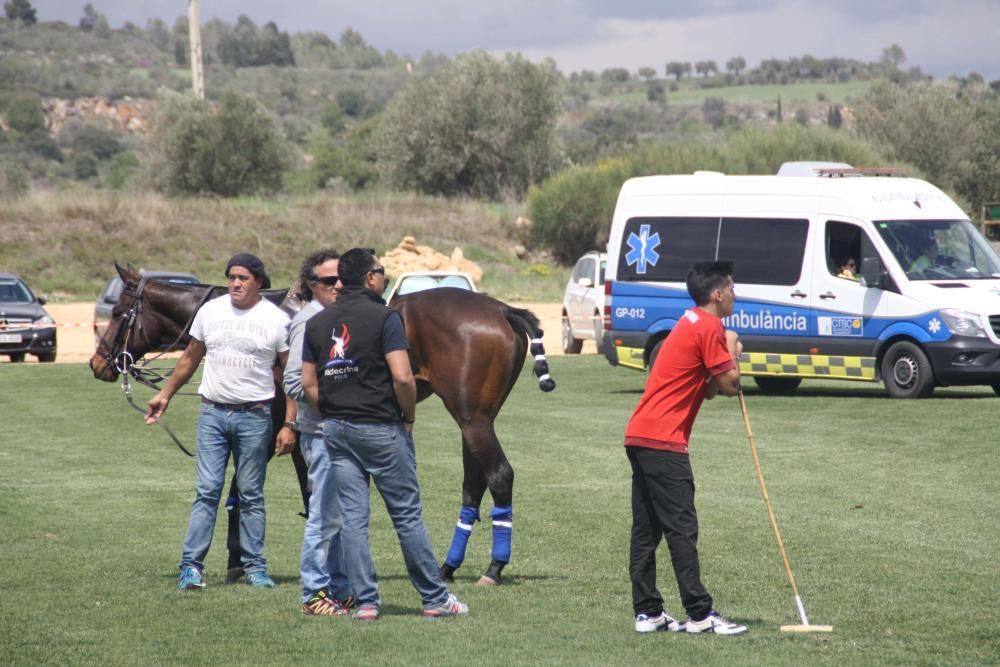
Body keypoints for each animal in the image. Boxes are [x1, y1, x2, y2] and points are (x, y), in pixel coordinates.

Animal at [92, 260, 556, 584]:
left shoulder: (273, 427)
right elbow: (281, 491)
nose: (99, 364)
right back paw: (446, 567)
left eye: (118, 313)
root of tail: (503, 309)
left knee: (499, 475)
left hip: (472, 416)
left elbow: (250, 490)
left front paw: (241, 562)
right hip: (474, 416)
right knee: (473, 483)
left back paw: (493, 568)